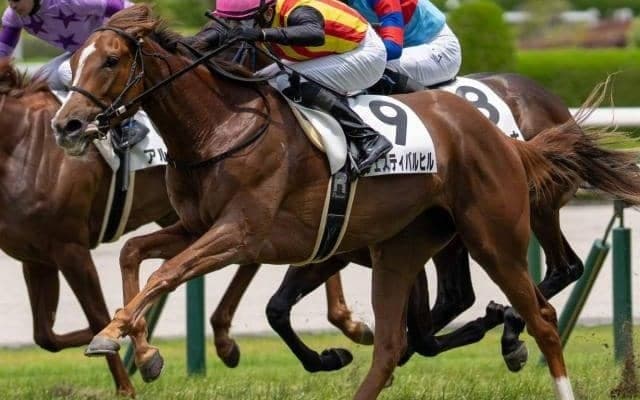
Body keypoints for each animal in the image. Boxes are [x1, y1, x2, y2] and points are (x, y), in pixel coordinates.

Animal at [0, 57, 179, 397]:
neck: (21, 145)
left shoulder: (70, 249)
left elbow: (97, 317)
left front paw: (125, 386)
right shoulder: (36, 258)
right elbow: (45, 335)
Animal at [51, 5, 640, 399]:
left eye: (109, 61)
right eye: (75, 62)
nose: (66, 125)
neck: (221, 128)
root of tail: (510, 136)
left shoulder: (243, 233)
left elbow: (169, 273)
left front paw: (115, 338)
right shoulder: (200, 227)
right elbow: (138, 257)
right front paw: (143, 350)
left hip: (496, 232)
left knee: (544, 298)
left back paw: (515, 335)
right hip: (418, 244)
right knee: (433, 320)